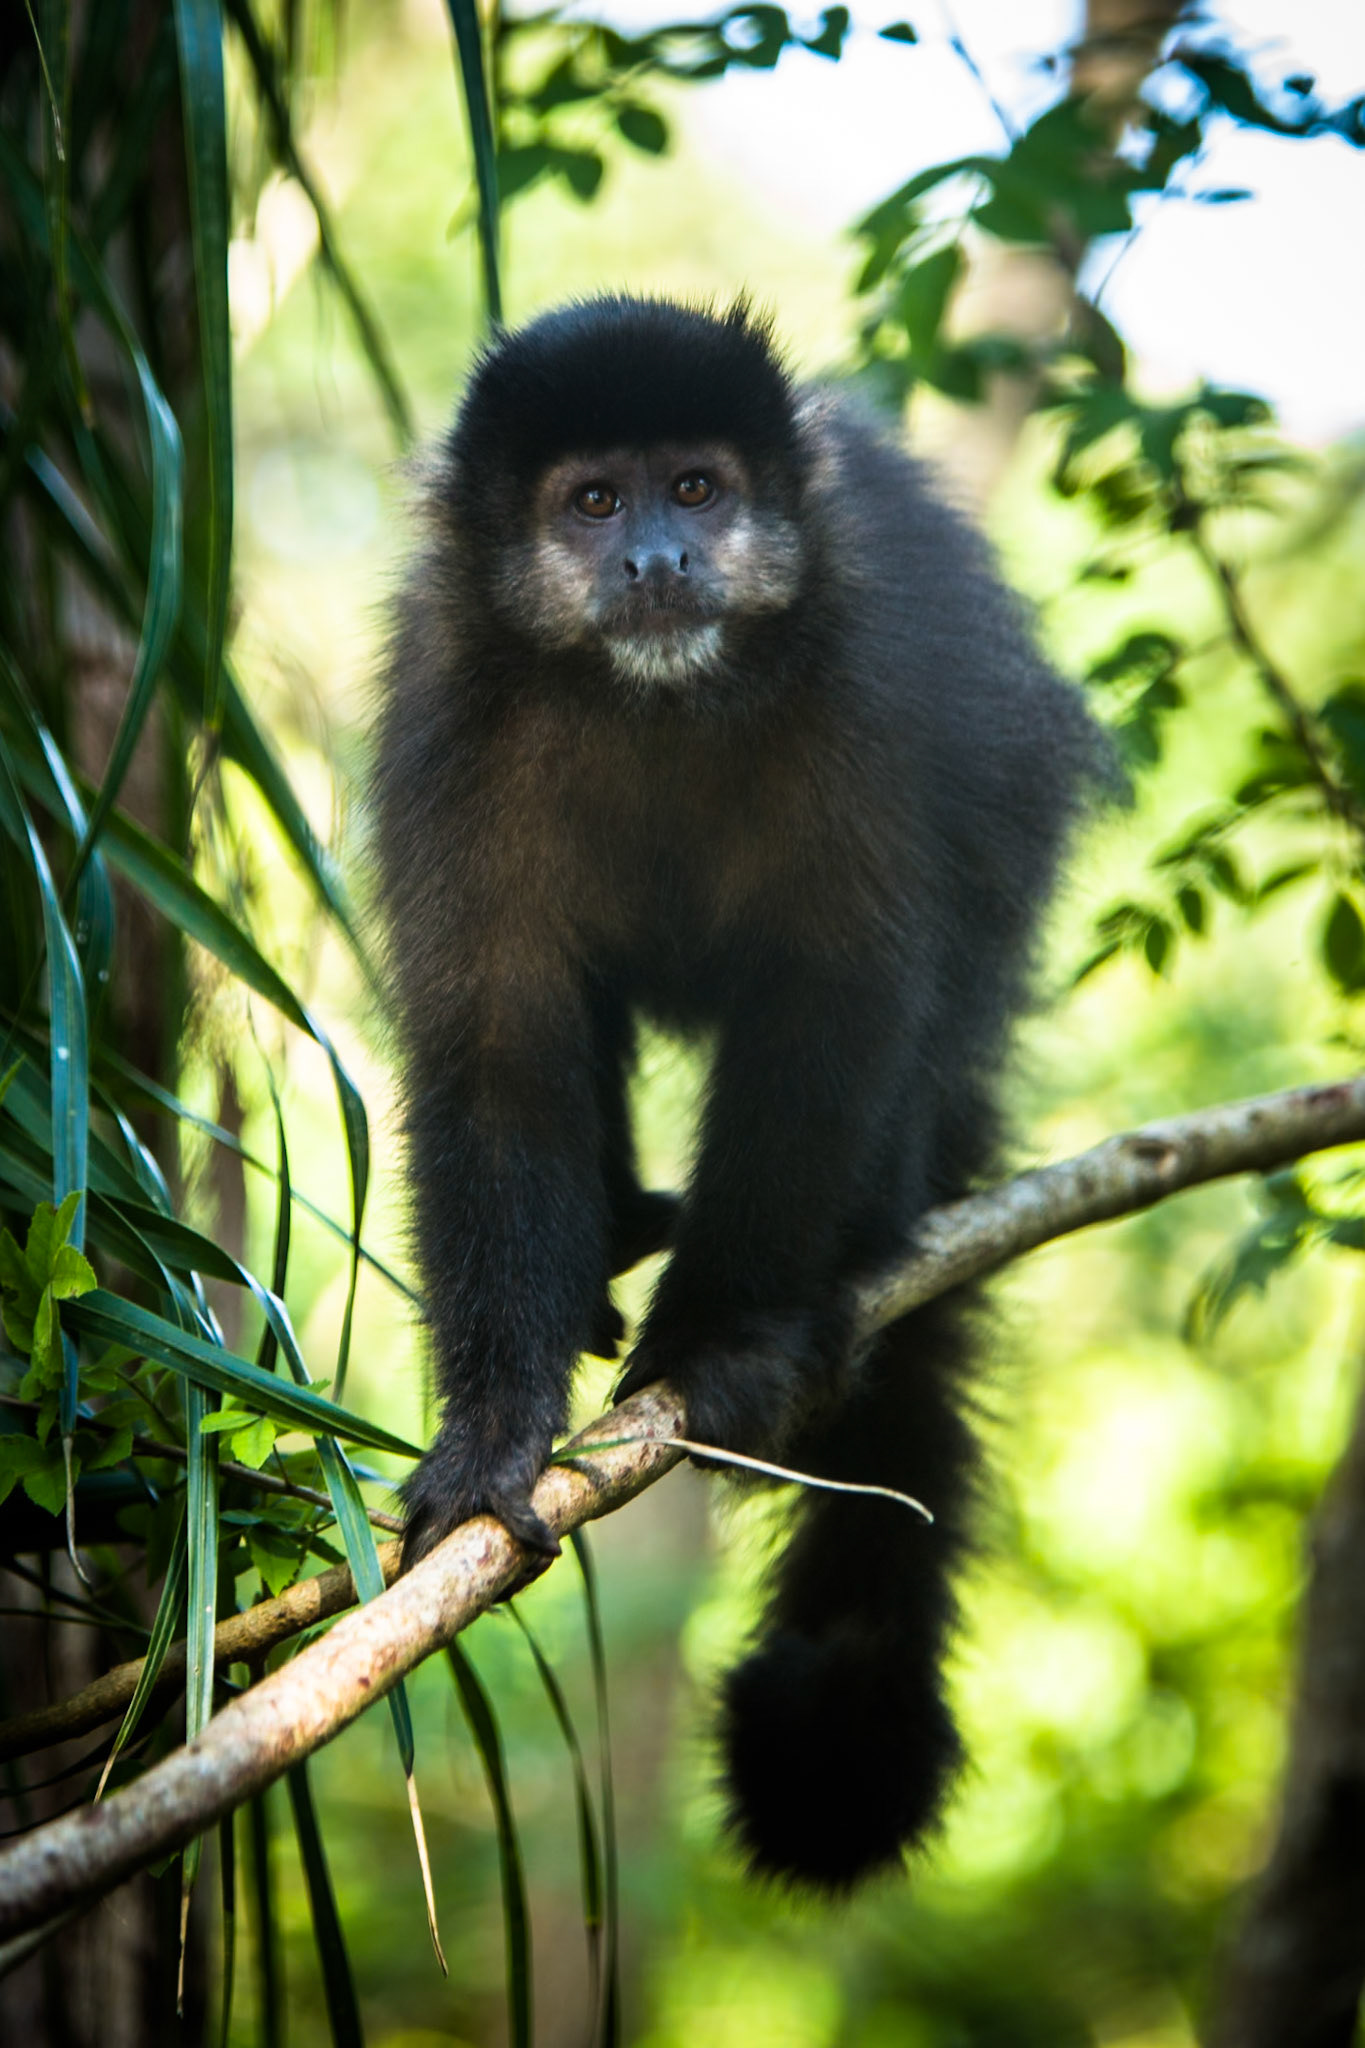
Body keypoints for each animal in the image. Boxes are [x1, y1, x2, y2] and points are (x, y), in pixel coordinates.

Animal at [373, 295, 1104, 1893]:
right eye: (596, 503)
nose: (658, 558)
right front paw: (497, 1427)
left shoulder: (860, 683)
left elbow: (831, 1009)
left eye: (697, 488)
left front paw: (717, 1342)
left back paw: (850, 1262)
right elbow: (496, 1046)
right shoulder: (455, 705)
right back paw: (616, 1231)